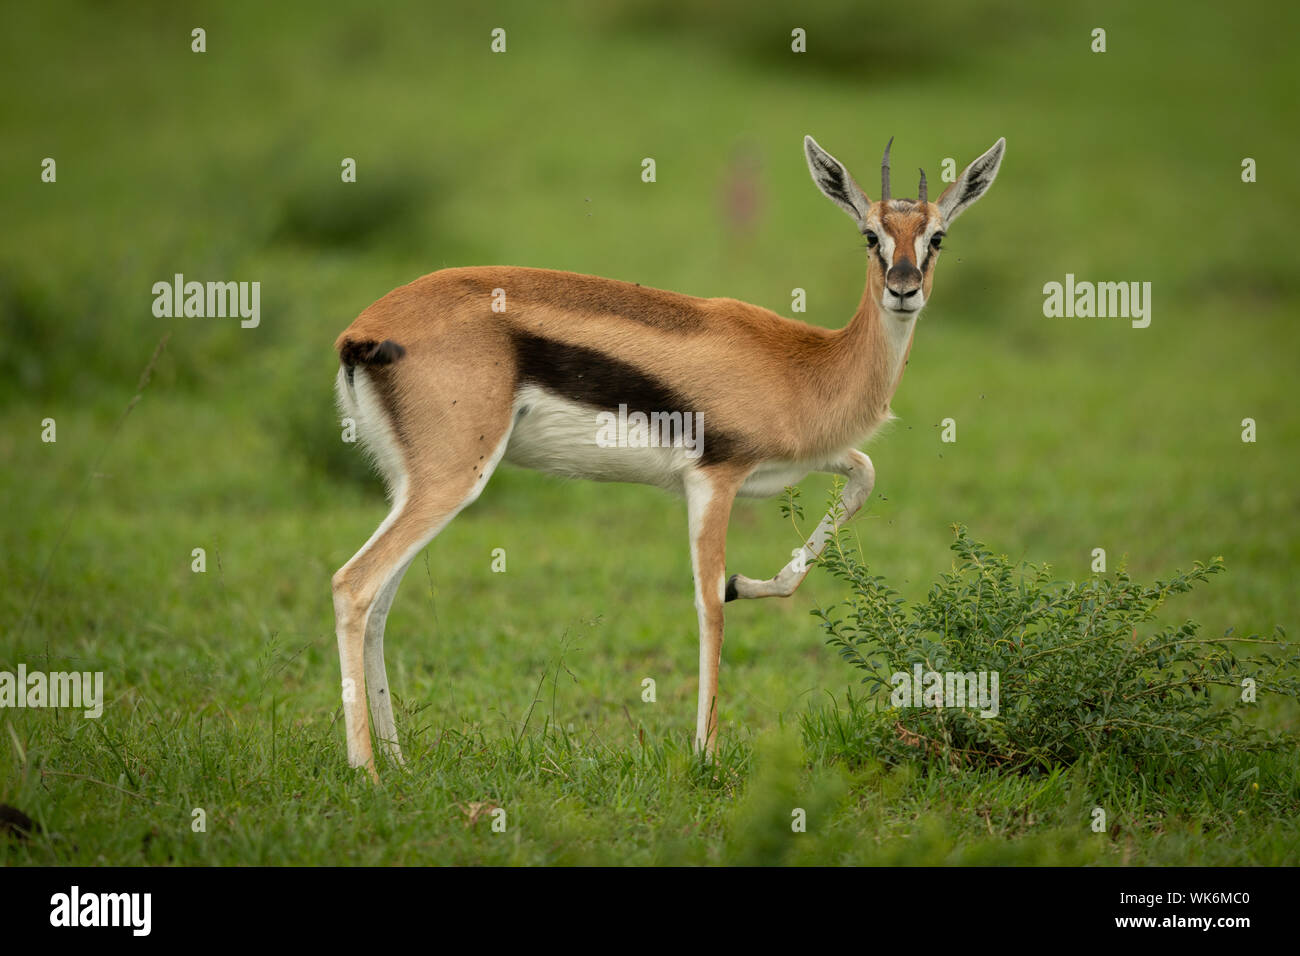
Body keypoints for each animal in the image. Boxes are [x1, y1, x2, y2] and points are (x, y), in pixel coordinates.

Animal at [331, 133, 1006, 777]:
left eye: (937, 236)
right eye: (871, 234)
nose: (903, 289)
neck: (804, 362)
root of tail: (363, 331)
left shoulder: (793, 464)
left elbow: (863, 474)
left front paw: (751, 583)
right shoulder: (715, 480)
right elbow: (709, 605)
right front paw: (705, 754)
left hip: (412, 484)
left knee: (382, 602)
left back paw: (398, 762)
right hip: (452, 481)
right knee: (352, 585)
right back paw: (367, 772)